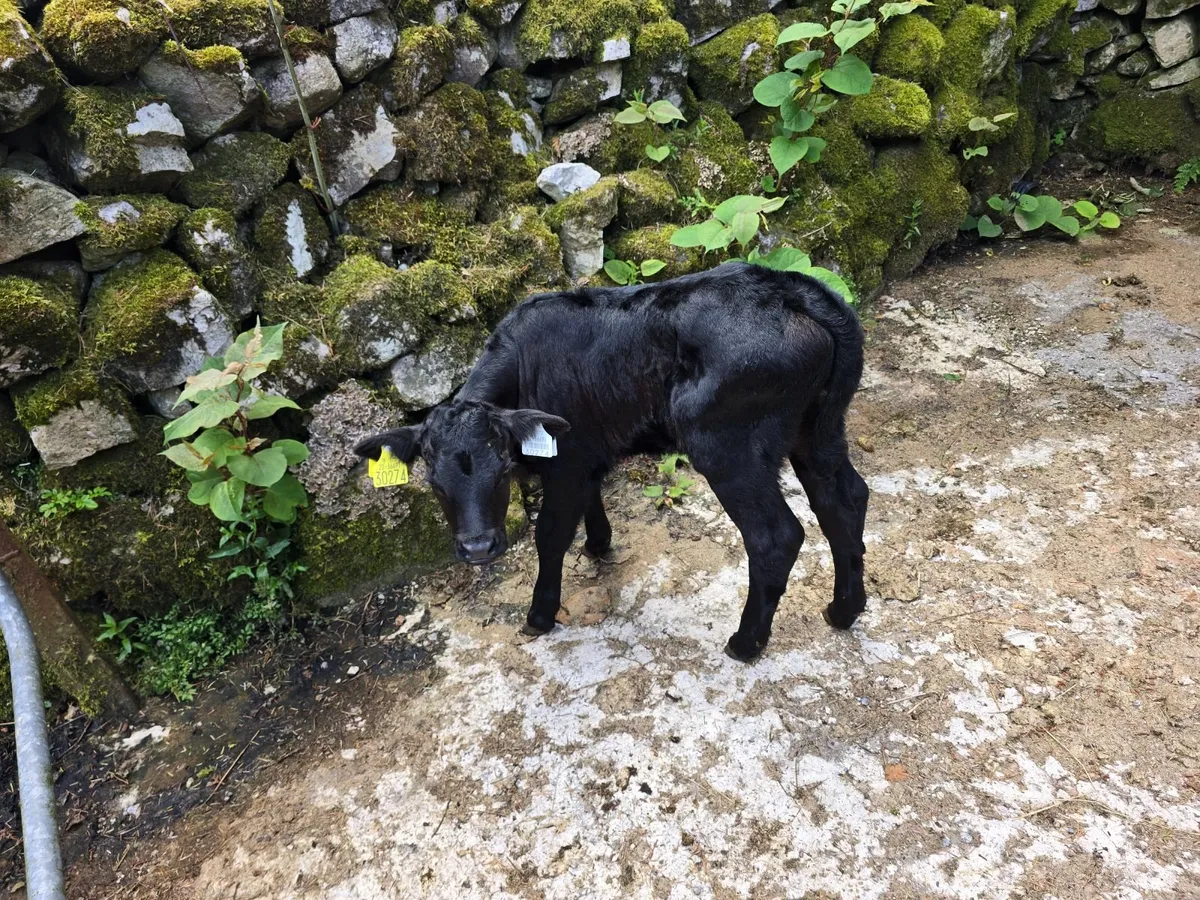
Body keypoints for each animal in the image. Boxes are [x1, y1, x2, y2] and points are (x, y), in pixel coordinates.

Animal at [353, 261, 869, 661]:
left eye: (501, 469)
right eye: (433, 482)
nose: (478, 548)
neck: (523, 365)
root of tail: (792, 290)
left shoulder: (566, 462)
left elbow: (550, 535)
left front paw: (540, 614)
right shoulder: (585, 452)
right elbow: (591, 498)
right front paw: (599, 543)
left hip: (728, 447)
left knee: (776, 536)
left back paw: (744, 642)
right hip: (817, 430)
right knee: (846, 499)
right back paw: (844, 610)